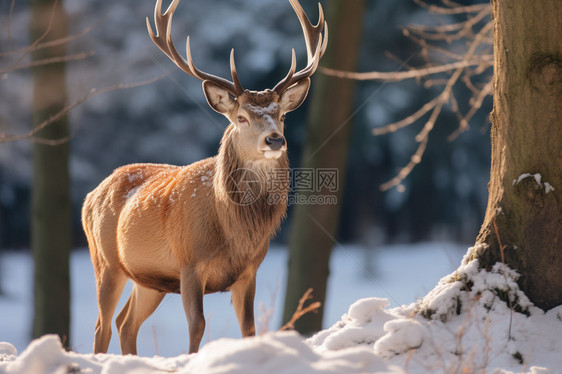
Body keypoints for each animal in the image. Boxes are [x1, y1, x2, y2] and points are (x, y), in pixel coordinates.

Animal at [82, 0, 326, 356]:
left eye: (281, 115)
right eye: (241, 117)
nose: (275, 140)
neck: (232, 229)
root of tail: (91, 195)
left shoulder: (249, 270)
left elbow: (249, 328)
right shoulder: (189, 264)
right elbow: (197, 326)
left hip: (149, 280)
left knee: (125, 322)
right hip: (105, 260)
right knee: (101, 326)